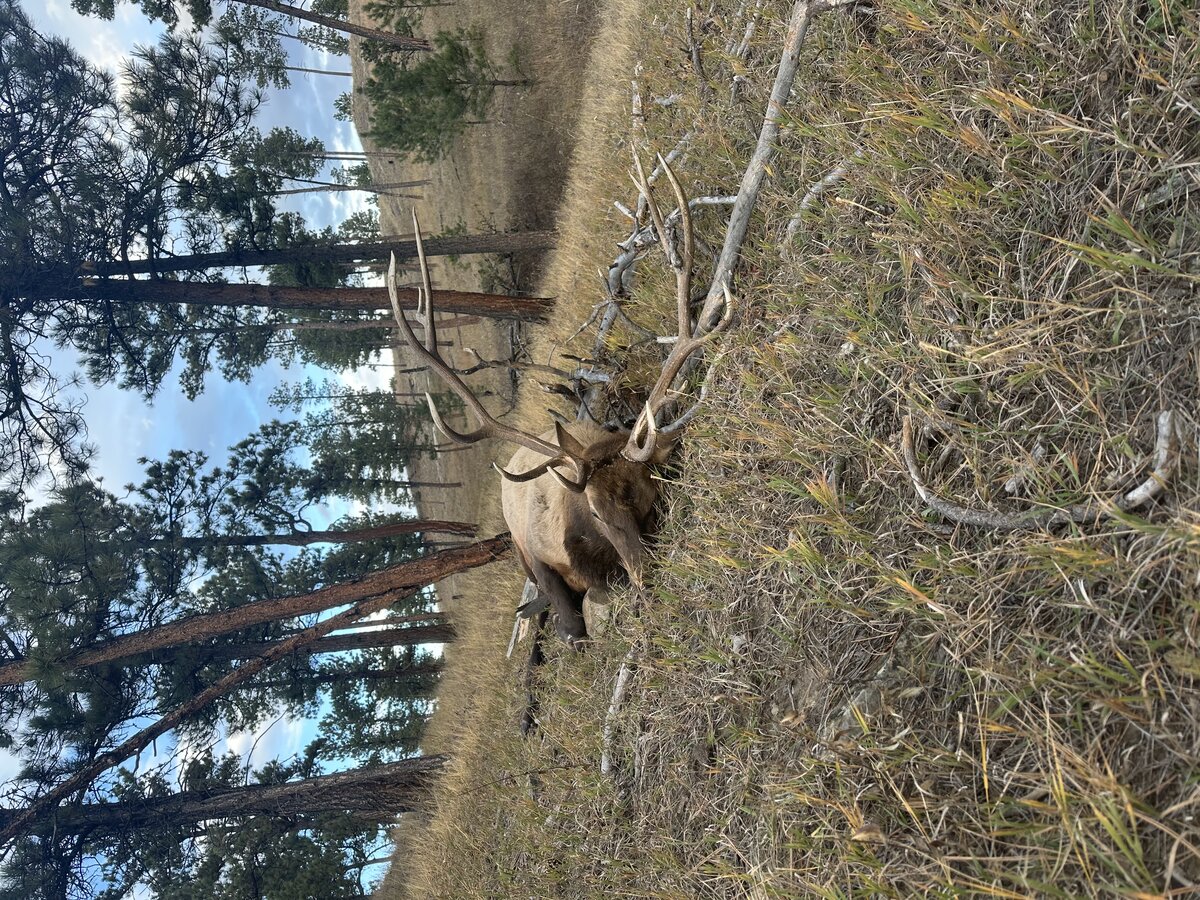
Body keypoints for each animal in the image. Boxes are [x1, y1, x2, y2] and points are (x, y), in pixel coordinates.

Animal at [387, 157, 732, 648]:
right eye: (594, 511)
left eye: (641, 491)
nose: (643, 576)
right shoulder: (544, 556)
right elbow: (575, 623)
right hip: (520, 549)